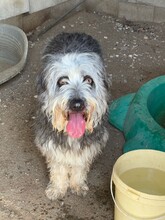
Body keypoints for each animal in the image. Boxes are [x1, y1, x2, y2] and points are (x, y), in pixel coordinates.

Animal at [35, 32, 110, 199]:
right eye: (62, 81)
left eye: (88, 79)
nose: (77, 104)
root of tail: (73, 33)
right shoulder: (52, 144)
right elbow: (58, 168)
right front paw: (58, 188)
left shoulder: (88, 146)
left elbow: (79, 166)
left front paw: (77, 184)